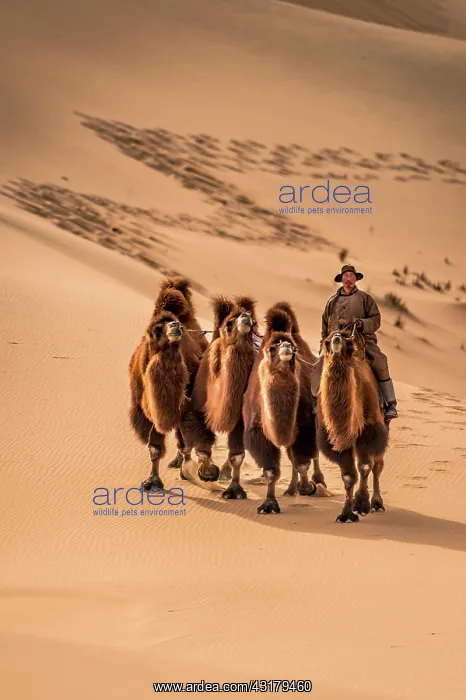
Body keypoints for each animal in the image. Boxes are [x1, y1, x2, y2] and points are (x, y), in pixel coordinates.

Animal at [128, 276, 208, 491]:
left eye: (174, 324)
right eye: (157, 330)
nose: (175, 326)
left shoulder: (186, 404)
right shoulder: (146, 411)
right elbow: (155, 448)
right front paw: (152, 481)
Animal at [180, 294, 258, 491]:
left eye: (254, 324)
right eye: (229, 323)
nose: (246, 317)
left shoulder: (240, 419)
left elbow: (237, 455)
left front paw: (233, 487)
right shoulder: (196, 408)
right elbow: (201, 445)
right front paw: (206, 473)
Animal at [242, 302, 326, 514]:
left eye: (294, 350)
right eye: (273, 347)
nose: (287, 347)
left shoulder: (304, 426)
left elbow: (303, 462)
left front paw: (306, 487)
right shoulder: (257, 431)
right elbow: (271, 470)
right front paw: (269, 504)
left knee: (309, 455)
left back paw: (317, 482)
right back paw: (290, 490)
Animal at [316, 322, 390, 523]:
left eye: (347, 343)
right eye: (326, 341)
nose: (336, 340)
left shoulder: (370, 431)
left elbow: (365, 466)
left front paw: (362, 504)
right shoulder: (335, 440)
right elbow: (348, 476)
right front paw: (346, 514)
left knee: (377, 465)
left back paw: (377, 503)